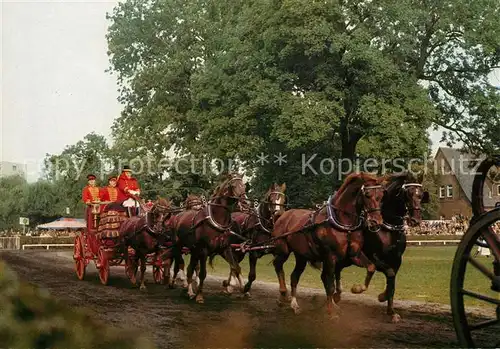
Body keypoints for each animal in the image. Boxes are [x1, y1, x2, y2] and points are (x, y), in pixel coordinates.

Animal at [170, 173, 246, 304]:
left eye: (244, 185)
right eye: (232, 185)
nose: (244, 200)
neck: (217, 219)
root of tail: (177, 216)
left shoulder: (225, 249)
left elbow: (235, 267)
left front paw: (241, 288)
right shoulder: (204, 250)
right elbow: (202, 273)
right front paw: (200, 296)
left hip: (194, 251)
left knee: (190, 268)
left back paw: (190, 292)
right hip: (179, 247)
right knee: (179, 265)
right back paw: (177, 284)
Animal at [272, 171, 384, 318]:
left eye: (381, 195)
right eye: (367, 194)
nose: (376, 222)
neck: (344, 223)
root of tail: (282, 216)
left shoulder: (354, 254)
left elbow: (371, 267)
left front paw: (357, 288)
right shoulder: (330, 257)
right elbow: (329, 283)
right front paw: (331, 312)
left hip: (301, 256)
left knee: (294, 276)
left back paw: (295, 304)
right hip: (283, 250)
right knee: (278, 265)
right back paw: (283, 294)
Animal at [338, 171, 432, 320]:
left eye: (421, 195)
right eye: (408, 193)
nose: (415, 220)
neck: (388, 228)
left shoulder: (397, 259)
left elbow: (392, 282)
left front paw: (391, 311)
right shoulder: (375, 257)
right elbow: (389, 273)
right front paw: (379, 295)